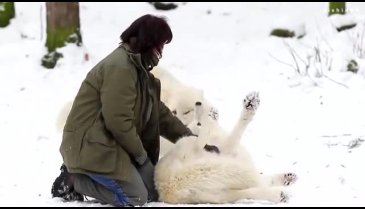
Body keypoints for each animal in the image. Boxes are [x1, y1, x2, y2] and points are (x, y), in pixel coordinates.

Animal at [154, 92, 296, 204]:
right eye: (198, 123)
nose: (198, 103)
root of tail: (171, 186)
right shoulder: (229, 147)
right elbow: (239, 129)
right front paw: (250, 105)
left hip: (222, 193)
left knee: (253, 187)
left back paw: (284, 187)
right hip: (188, 143)